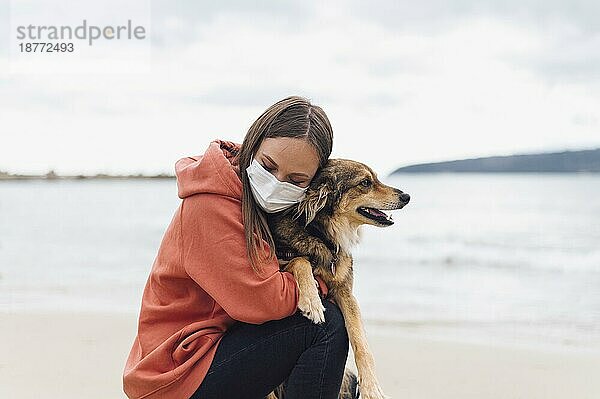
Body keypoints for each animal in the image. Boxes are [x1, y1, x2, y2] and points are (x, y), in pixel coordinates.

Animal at [264, 159, 410, 399]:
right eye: (365, 182)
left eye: (375, 178)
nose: (406, 196)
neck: (323, 236)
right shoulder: (279, 261)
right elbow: (300, 260)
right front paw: (312, 301)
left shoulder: (345, 292)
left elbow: (360, 341)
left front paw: (371, 387)